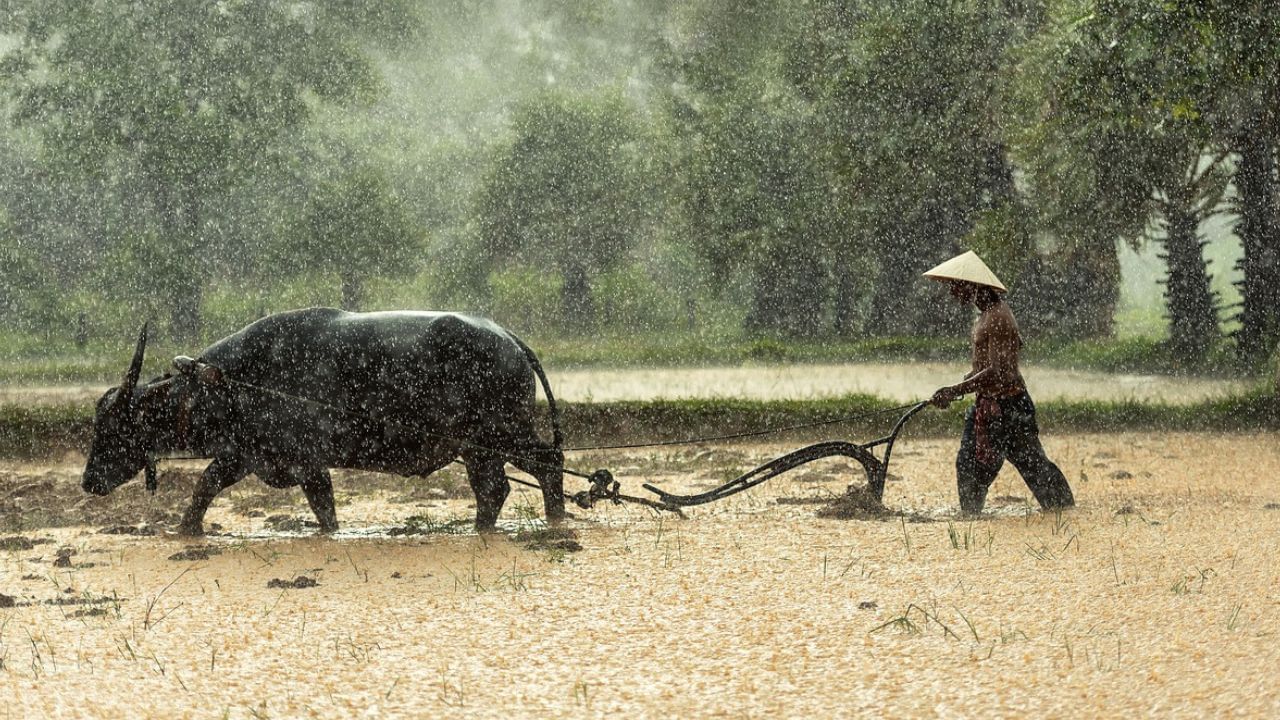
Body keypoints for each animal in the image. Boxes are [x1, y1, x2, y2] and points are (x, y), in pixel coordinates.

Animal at [80, 304, 560, 535]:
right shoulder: (245, 455)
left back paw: (556, 520)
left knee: (547, 464)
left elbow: (322, 507)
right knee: (494, 489)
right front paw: (185, 531)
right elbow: (206, 487)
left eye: (113, 427)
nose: (88, 481)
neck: (232, 381)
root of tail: (508, 338)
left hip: (503, 434)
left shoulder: (304, 461)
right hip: (479, 448)